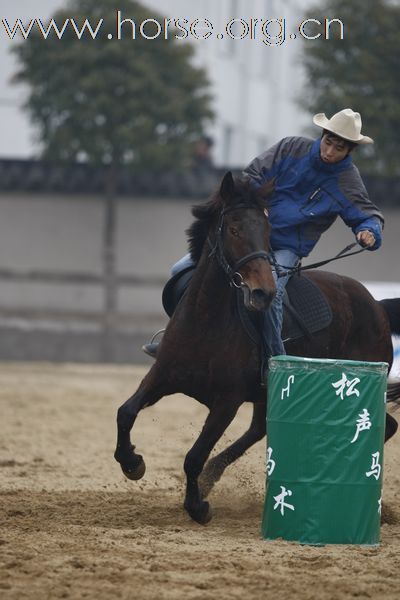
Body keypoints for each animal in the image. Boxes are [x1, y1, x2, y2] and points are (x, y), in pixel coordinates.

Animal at [114, 171, 400, 524]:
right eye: (234, 229)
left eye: (266, 231)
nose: (263, 291)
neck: (206, 321)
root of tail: (378, 306)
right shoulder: (161, 377)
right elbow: (126, 412)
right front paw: (132, 463)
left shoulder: (227, 402)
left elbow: (194, 455)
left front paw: (197, 507)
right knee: (259, 428)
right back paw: (211, 476)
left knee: (385, 425)